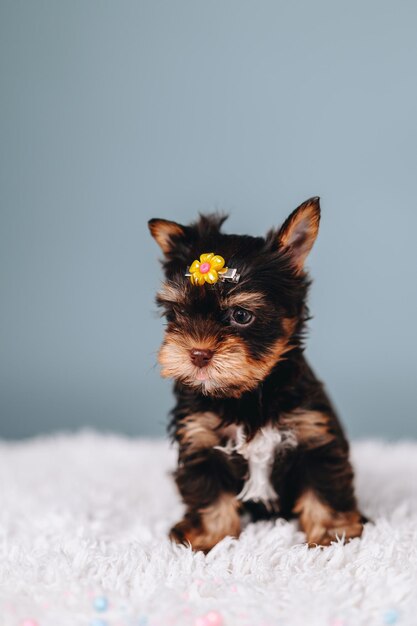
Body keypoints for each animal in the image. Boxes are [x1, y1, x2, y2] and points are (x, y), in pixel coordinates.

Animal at [148, 197, 362, 548]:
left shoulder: (314, 434)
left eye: (241, 315)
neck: (246, 393)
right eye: (177, 312)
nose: (197, 354)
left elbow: (323, 487)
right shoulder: (199, 439)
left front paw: (333, 535)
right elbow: (209, 493)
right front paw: (209, 538)